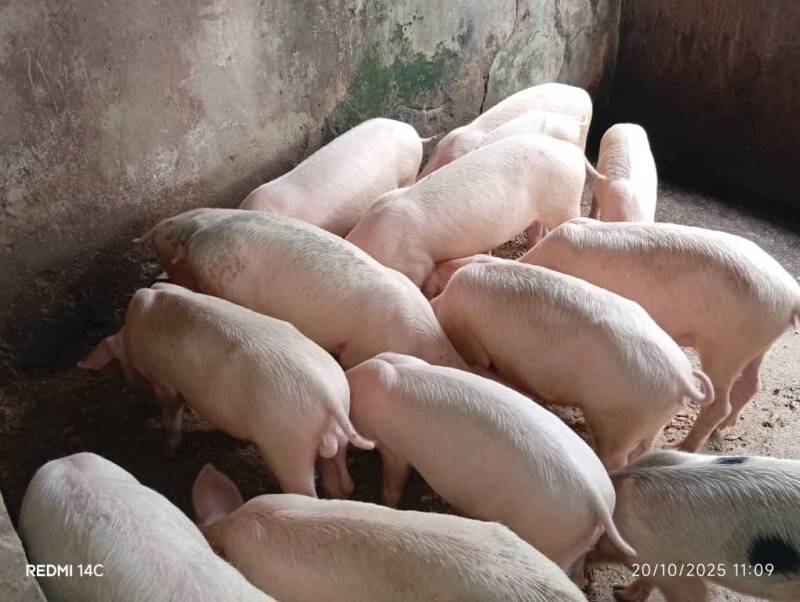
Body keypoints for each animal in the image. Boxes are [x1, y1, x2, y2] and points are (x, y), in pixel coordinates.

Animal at [79, 283, 373, 498]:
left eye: (120, 365)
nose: (140, 400)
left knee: (304, 491)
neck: (130, 337)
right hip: (336, 430)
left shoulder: (164, 380)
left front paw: (170, 450)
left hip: (288, 445)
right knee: (341, 477)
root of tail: (327, 393)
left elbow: (171, 409)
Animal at [345, 352, 635, 572]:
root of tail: (596, 499)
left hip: (549, 533)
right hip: (576, 541)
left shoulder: (393, 448)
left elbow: (393, 482)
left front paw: (384, 503)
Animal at [431, 259, 714, 470]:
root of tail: (683, 380)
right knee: (643, 448)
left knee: (616, 459)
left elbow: (479, 360)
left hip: (620, 422)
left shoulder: (471, 340)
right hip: (652, 421)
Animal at [520, 218, 800, 451]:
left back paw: (680, 447)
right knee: (752, 384)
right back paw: (723, 426)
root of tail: (792, 295)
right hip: (759, 340)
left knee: (719, 402)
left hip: (727, 343)